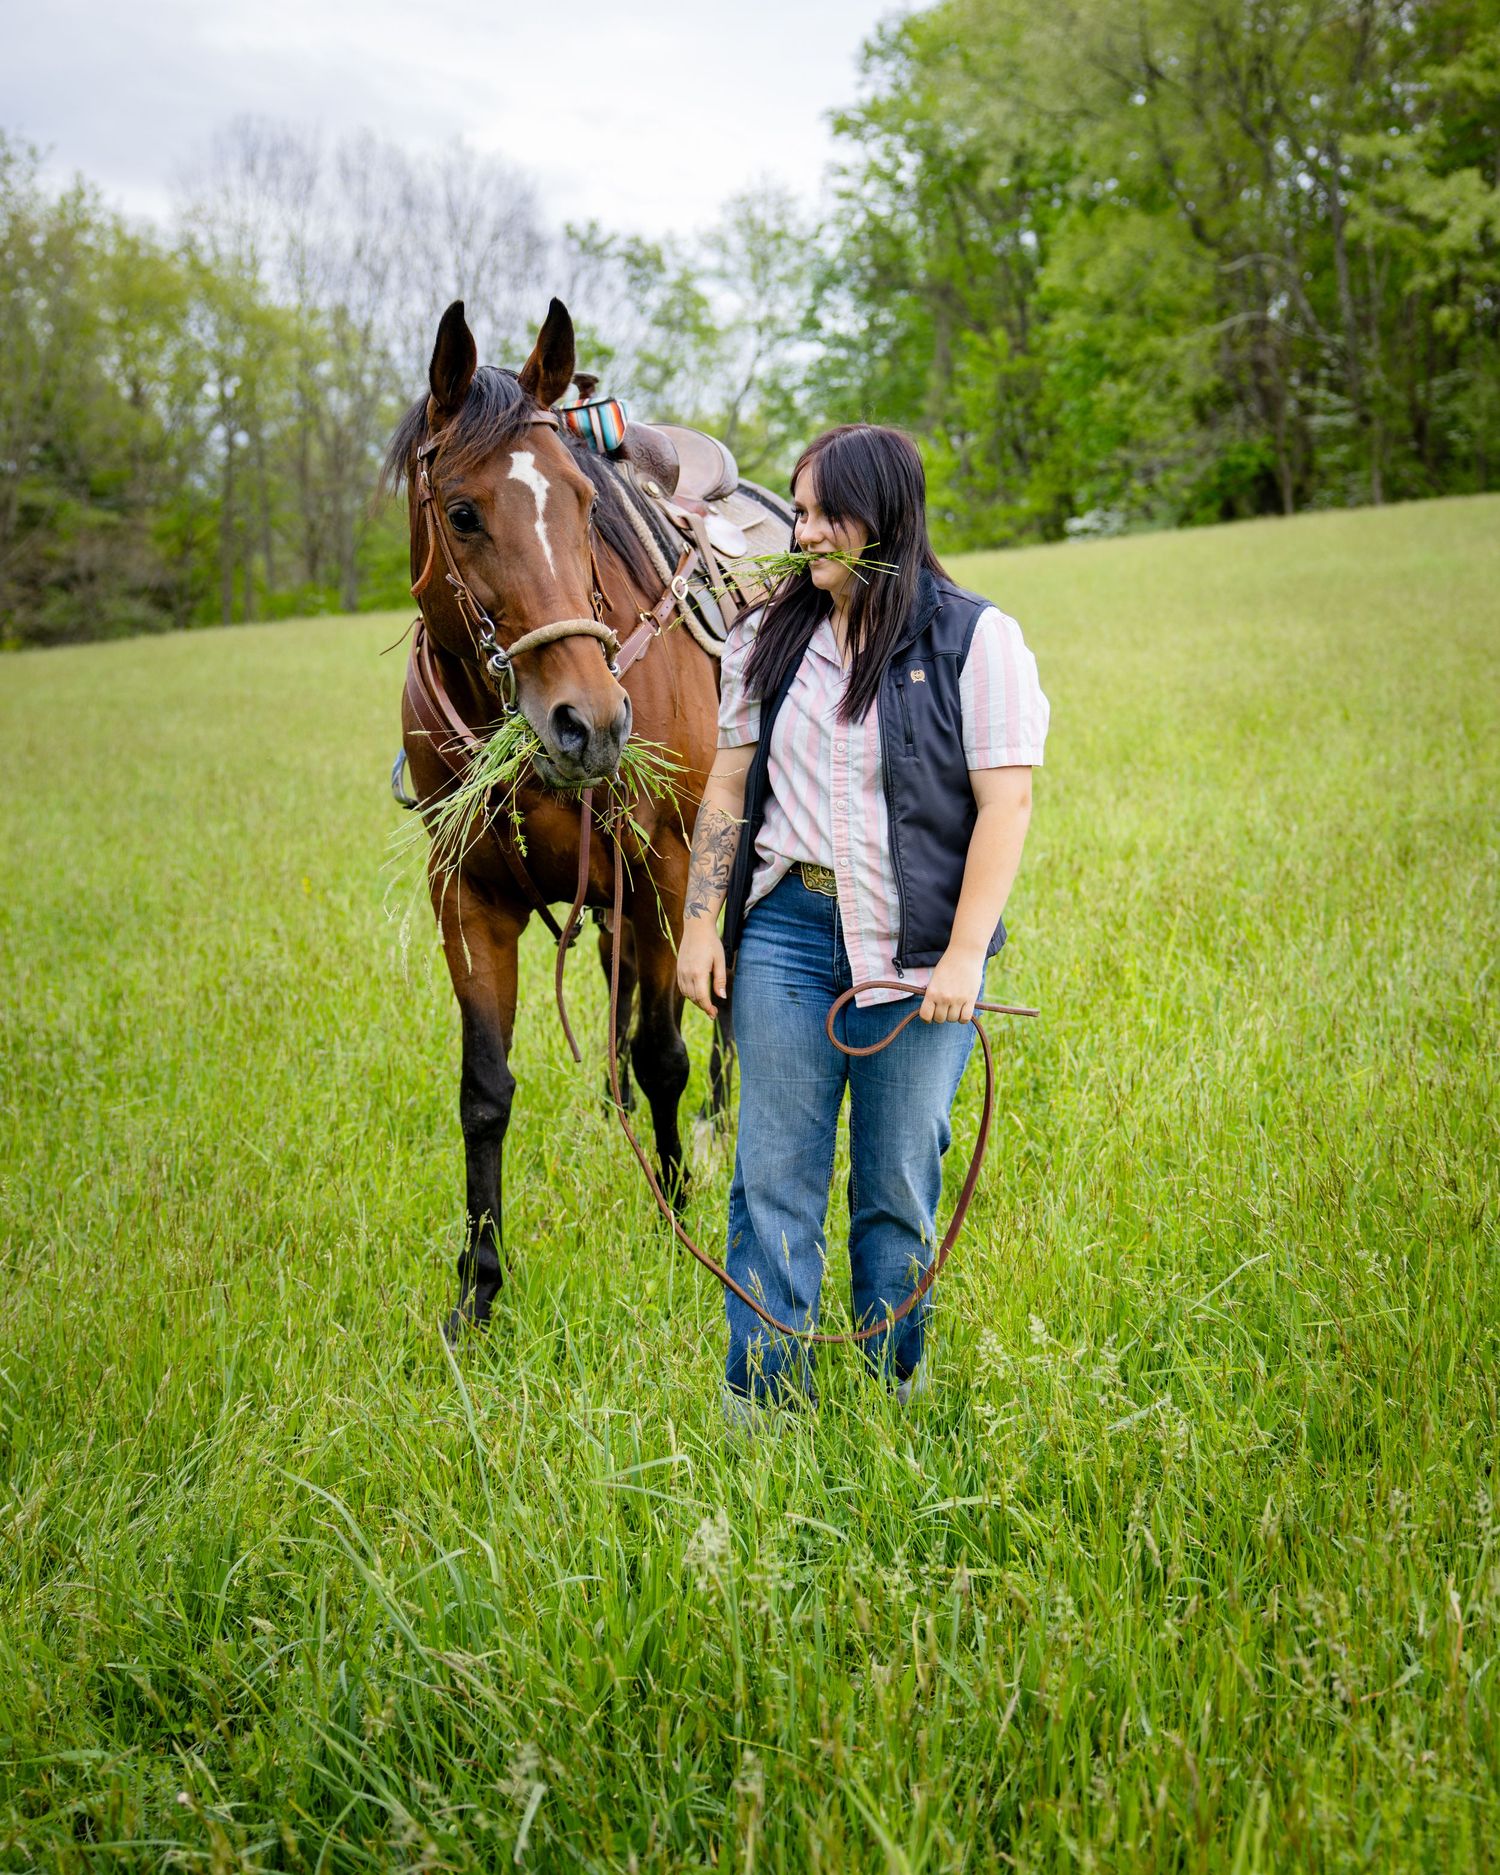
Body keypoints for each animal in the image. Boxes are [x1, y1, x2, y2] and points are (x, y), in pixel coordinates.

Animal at [385, 297, 736, 1339]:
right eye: (462, 513)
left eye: (582, 502)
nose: (591, 721)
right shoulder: (465, 896)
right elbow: (485, 1090)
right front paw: (478, 1287)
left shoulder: (668, 868)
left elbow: (664, 1052)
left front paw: (676, 1215)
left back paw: (716, 1119)